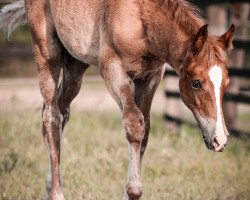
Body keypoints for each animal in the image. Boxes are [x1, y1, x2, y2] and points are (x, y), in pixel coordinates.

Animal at [0, 0, 234, 199]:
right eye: (196, 83)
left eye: (226, 83)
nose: (220, 140)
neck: (142, 18)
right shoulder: (113, 69)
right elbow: (134, 125)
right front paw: (134, 190)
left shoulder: (151, 77)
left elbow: (145, 130)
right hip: (47, 53)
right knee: (52, 117)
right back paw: (57, 194)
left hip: (75, 64)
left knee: (60, 112)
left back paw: (49, 187)